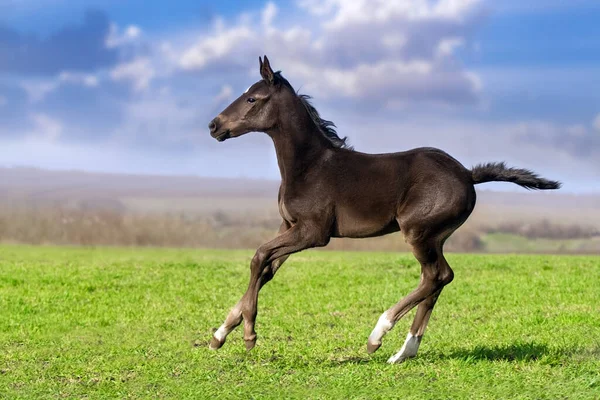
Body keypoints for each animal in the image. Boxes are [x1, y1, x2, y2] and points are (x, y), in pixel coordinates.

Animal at [207, 54, 564, 364]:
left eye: (252, 99)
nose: (214, 125)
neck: (308, 166)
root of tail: (467, 174)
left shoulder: (313, 232)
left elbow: (258, 257)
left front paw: (249, 335)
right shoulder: (289, 226)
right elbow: (266, 268)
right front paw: (220, 334)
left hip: (418, 232)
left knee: (437, 276)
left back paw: (377, 336)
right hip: (435, 237)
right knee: (436, 280)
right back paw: (404, 351)